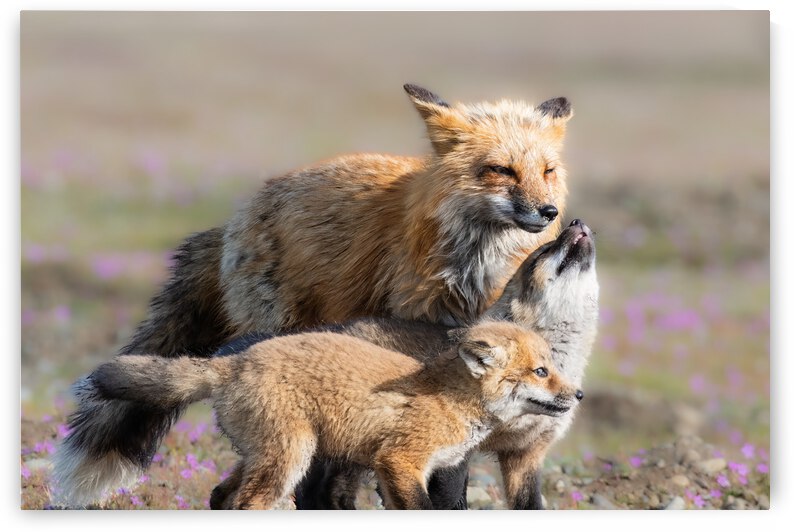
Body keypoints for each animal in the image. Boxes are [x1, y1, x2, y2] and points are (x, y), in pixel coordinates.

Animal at [80, 322, 581, 510]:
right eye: (541, 372)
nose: (577, 394)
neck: (450, 398)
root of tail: (235, 360)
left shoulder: (399, 470)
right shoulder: (400, 461)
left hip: (266, 455)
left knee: (221, 495)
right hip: (291, 458)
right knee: (244, 504)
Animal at [220, 218, 599, 510]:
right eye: (543, 252)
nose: (576, 221)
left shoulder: (527, 455)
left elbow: (530, 506)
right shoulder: (452, 449)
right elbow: (449, 503)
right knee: (312, 493)